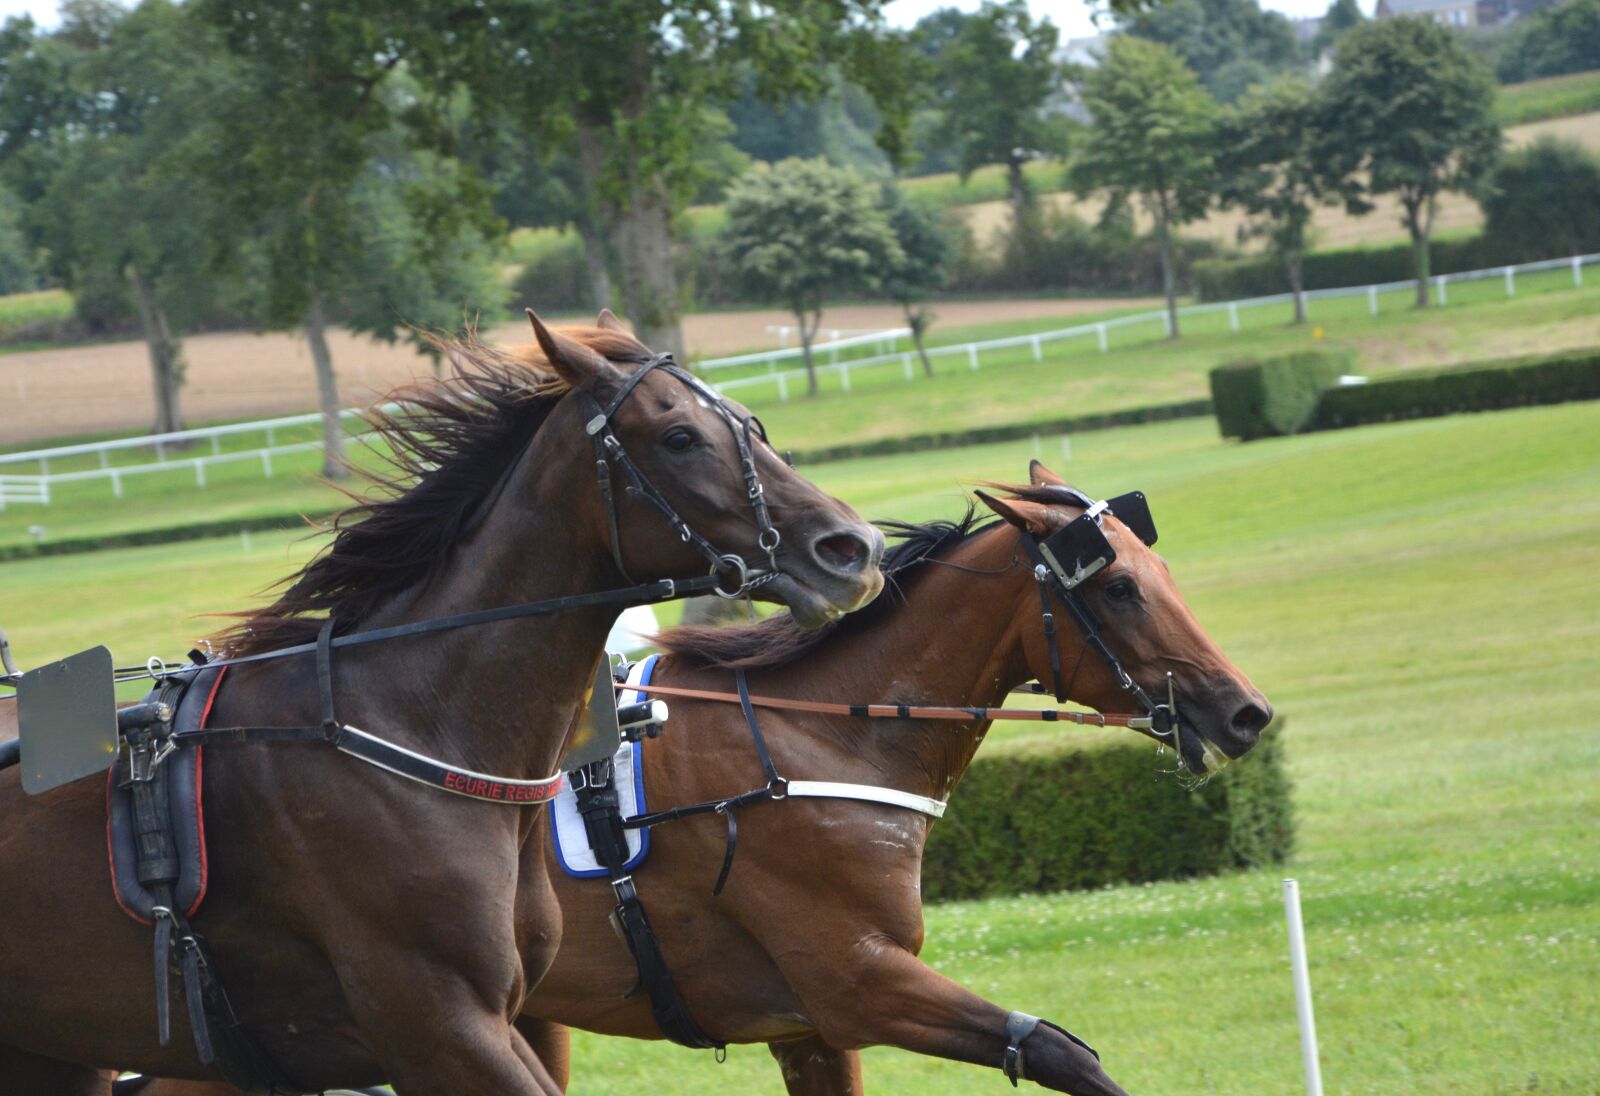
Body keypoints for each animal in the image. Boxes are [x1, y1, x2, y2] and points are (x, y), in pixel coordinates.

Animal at [0, 310, 885, 1096]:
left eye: (748, 421)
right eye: (679, 438)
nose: (855, 549)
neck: (409, 721)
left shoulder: (505, 1016)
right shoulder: (436, 1025)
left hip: (54, 1054)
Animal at [124, 460, 1269, 1096]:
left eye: (1161, 572)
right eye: (1117, 589)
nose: (1244, 712)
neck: (822, 748)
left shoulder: (809, 1028)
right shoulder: (856, 981)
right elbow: (1065, 1053)